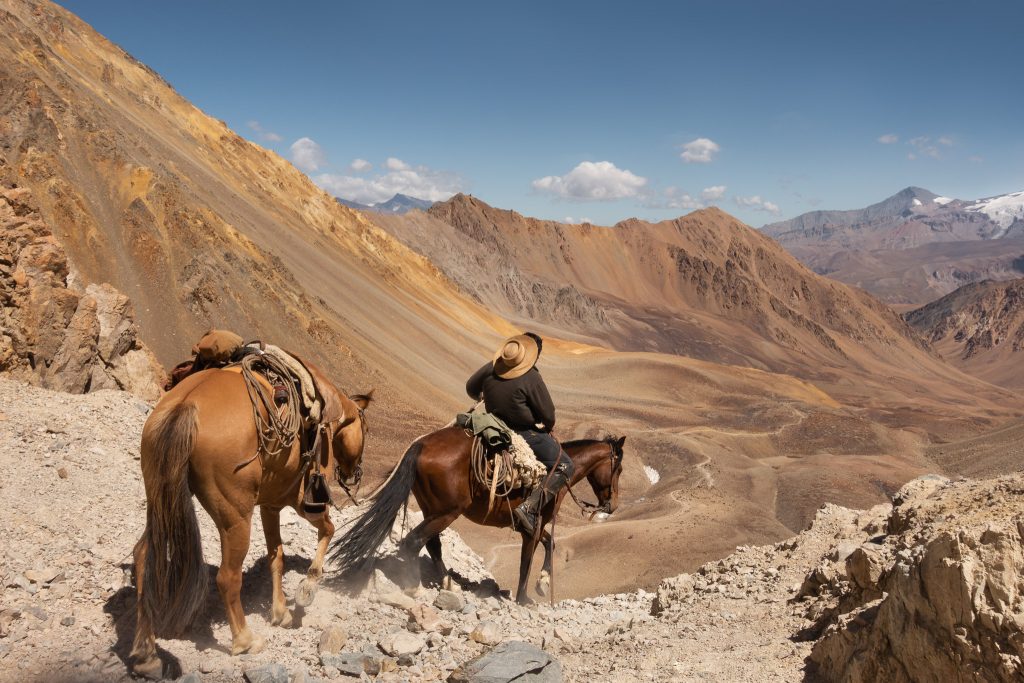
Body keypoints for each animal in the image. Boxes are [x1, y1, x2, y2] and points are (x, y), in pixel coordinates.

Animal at [125, 362, 370, 679]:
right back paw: (245, 640)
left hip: (160, 499)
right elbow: (328, 530)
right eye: (366, 429)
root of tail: (185, 406)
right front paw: (307, 588)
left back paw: (147, 654)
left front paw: (280, 612)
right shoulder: (304, 503)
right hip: (236, 518)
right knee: (227, 578)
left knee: (144, 556)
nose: (355, 472)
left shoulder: (270, 505)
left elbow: (276, 556)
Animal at [331, 428, 626, 602]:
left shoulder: (532, 525)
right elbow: (526, 562)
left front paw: (543, 583)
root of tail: (421, 445)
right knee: (414, 541)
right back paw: (413, 585)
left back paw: (447, 583)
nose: (612, 505)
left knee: (431, 543)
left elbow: (550, 544)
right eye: (619, 469)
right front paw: (524, 598)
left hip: (433, 510)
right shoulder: (532, 525)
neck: (557, 474)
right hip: (447, 512)